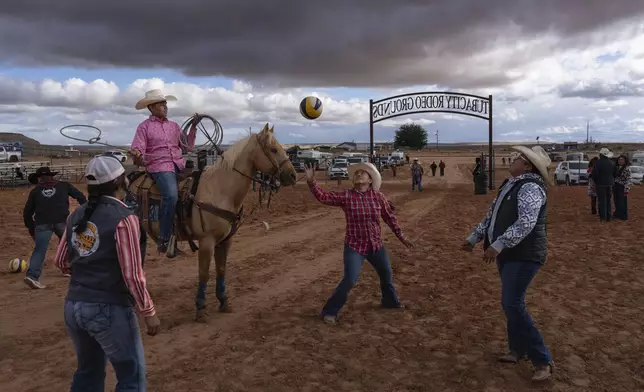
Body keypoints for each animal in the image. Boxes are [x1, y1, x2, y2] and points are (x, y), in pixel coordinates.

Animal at [129, 124, 300, 320]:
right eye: (273, 149)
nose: (293, 176)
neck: (221, 190)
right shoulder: (207, 242)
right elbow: (204, 274)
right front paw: (200, 307)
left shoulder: (225, 241)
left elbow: (221, 270)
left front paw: (223, 301)